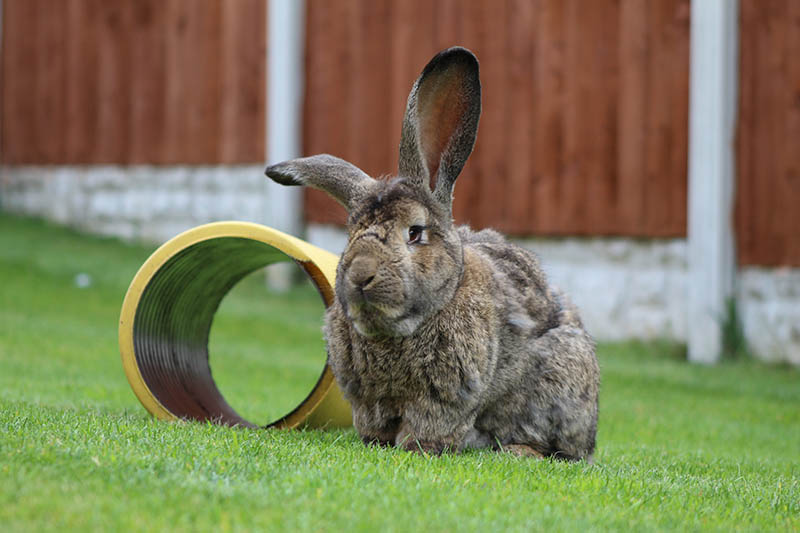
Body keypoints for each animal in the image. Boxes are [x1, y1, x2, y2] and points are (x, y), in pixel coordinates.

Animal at [266, 46, 596, 462]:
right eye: (351, 234)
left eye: (415, 233)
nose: (360, 274)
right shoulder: (368, 401)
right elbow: (374, 425)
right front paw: (378, 443)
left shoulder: (445, 397)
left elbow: (430, 427)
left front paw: (417, 448)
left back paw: (518, 451)